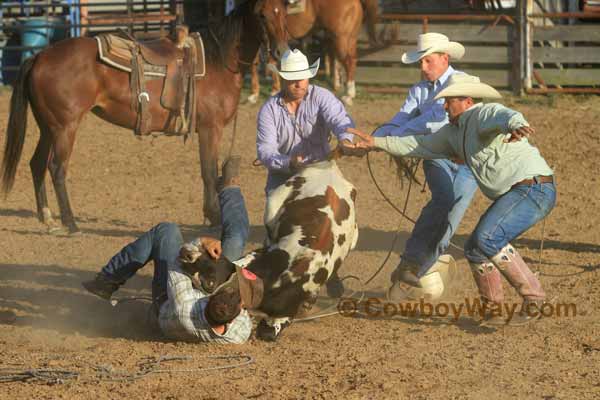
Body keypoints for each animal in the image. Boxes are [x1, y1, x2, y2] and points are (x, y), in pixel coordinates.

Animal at [1, 0, 288, 233]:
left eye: (282, 11)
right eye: (262, 15)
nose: (280, 51)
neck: (218, 61)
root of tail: (39, 56)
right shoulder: (210, 128)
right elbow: (209, 171)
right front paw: (214, 216)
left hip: (48, 127)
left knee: (37, 164)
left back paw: (48, 218)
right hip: (64, 128)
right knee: (56, 169)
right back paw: (70, 223)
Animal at [246, 0, 378, 105]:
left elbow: (261, 62)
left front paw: (263, 92)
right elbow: (261, 62)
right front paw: (262, 92)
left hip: (341, 38)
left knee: (349, 61)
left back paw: (349, 95)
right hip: (348, 38)